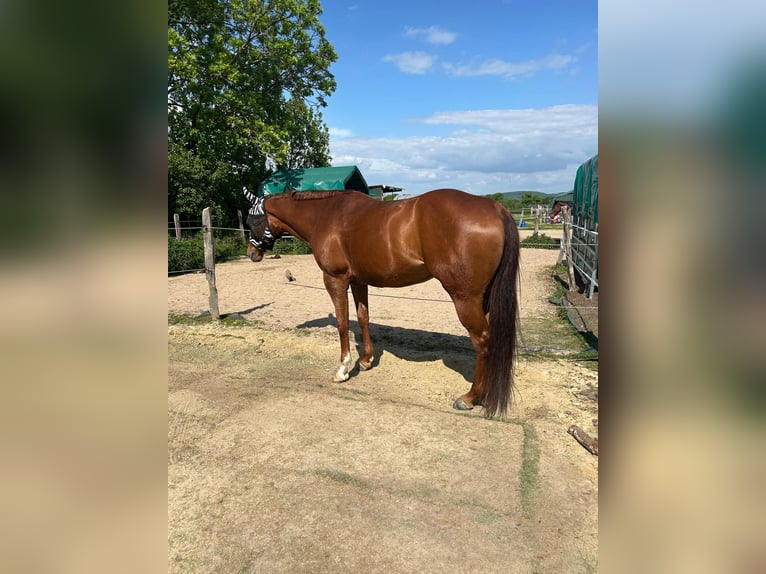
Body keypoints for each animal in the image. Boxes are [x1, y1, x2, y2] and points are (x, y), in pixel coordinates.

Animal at [243, 187, 520, 418]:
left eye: (252, 220)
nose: (251, 253)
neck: (325, 214)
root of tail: (494, 207)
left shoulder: (335, 279)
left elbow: (343, 322)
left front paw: (343, 369)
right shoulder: (358, 281)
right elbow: (363, 317)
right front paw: (366, 360)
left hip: (465, 298)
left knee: (482, 340)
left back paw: (470, 397)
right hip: (483, 298)